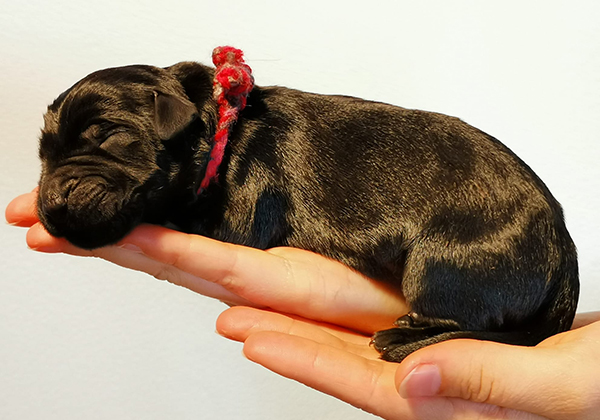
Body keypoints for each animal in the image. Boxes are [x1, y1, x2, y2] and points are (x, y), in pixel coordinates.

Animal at [36, 59, 579, 362]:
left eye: (107, 136)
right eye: (42, 153)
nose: (53, 198)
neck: (222, 127)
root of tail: (565, 250)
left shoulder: (242, 210)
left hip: (442, 264)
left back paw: (403, 339)